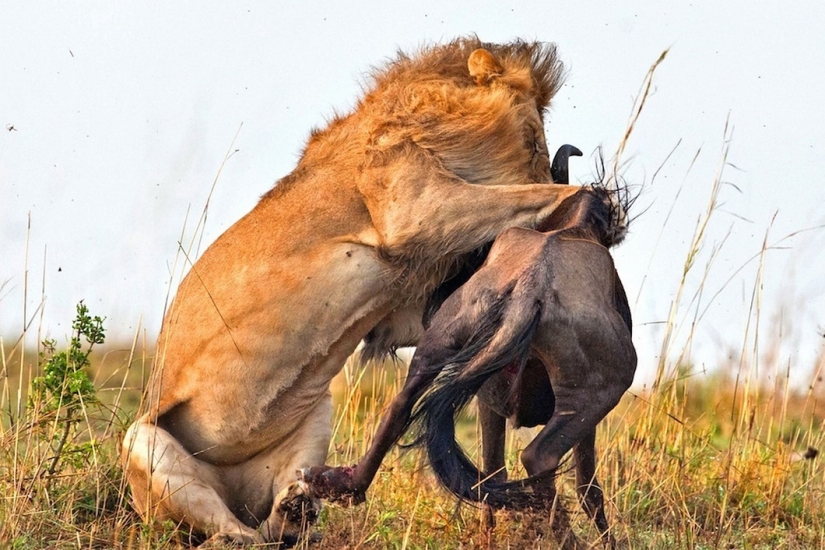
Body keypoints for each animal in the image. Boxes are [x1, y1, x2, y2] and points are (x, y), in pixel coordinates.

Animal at [121, 37, 582, 545]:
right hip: (142, 441)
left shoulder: (405, 308)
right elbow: (528, 196)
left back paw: (297, 505)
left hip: (316, 413)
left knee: (276, 527)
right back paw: (240, 532)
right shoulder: (414, 209)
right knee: (229, 526)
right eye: (534, 140)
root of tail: (234, 492)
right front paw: (597, 204)